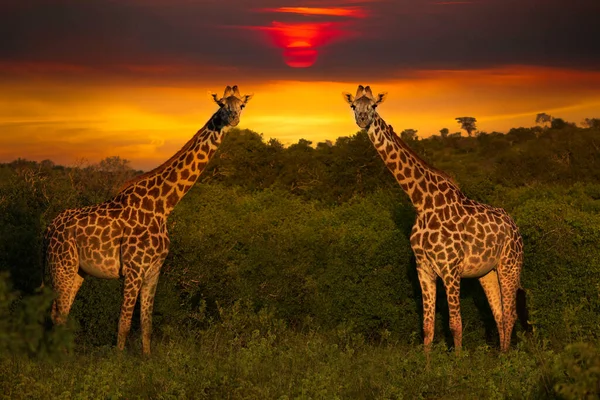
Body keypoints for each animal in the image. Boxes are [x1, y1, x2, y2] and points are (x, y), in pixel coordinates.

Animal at [44, 86, 253, 354]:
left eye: (241, 105)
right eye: (222, 104)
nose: (233, 119)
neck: (162, 207)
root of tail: (49, 228)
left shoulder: (154, 271)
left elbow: (146, 323)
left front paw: (147, 358)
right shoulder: (134, 270)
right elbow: (123, 323)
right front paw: (118, 360)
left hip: (78, 270)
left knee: (61, 311)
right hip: (62, 265)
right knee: (58, 313)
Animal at [342, 85, 524, 354]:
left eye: (373, 105)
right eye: (353, 106)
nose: (363, 119)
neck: (422, 203)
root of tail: (515, 227)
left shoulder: (450, 269)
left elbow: (455, 325)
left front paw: (456, 364)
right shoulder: (424, 269)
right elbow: (427, 327)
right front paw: (426, 364)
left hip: (510, 264)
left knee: (510, 314)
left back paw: (508, 360)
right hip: (487, 272)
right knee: (499, 315)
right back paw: (500, 357)